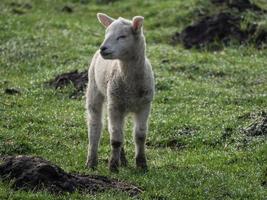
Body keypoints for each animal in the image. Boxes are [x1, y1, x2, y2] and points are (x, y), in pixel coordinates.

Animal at [86, 12, 155, 172]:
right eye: (106, 33)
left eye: (122, 36)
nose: (103, 48)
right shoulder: (115, 105)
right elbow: (116, 139)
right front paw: (113, 166)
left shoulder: (144, 105)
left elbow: (140, 135)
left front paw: (142, 164)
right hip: (95, 89)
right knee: (96, 126)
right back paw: (92, 161)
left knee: (116, 130)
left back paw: (122, 160)